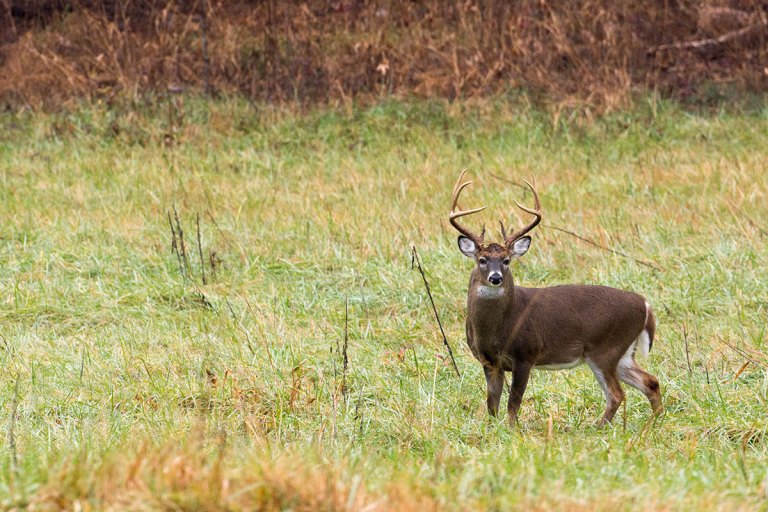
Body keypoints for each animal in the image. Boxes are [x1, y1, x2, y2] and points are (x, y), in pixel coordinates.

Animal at [449, 170, 663, 427]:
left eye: (506, 260)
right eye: (482, 260)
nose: (496, 277)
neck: (496, 330)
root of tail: (645, 304)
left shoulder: (526, 354)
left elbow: (513, 404)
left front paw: (512, 430)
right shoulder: (489, 362)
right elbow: (492, 405)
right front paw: (492, 429)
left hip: (605, 348)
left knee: (617, 393)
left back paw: (597, 427)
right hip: (623, 353)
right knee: (650, 382)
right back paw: (654, 422)